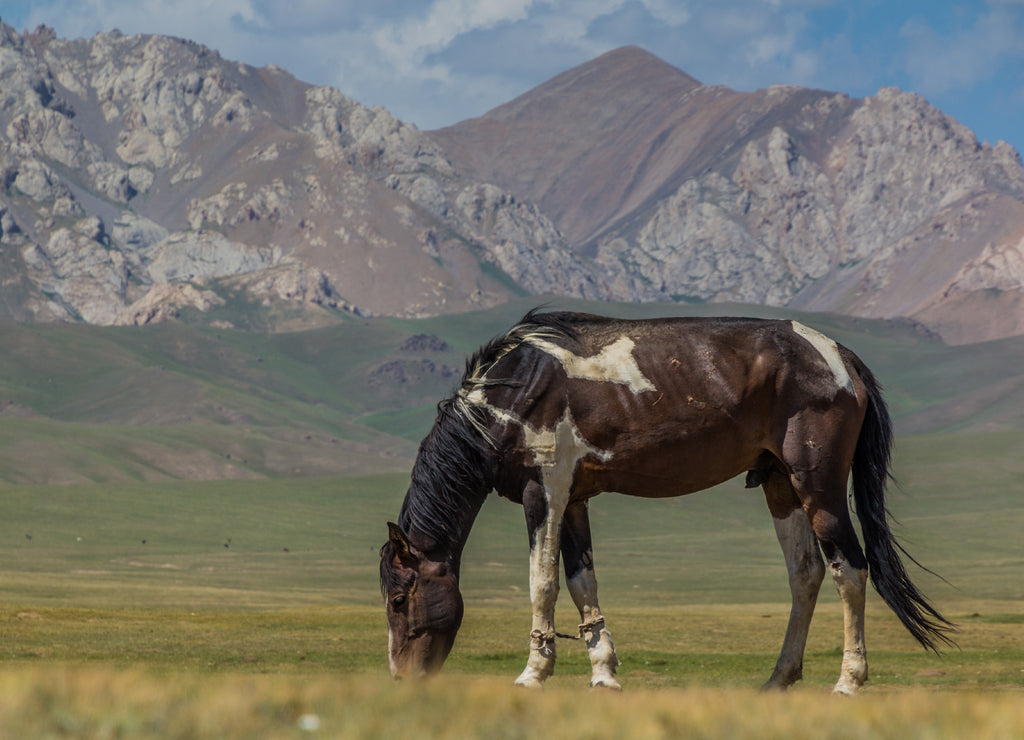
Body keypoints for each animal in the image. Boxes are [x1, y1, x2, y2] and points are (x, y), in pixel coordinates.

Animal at [379, 309, 954, 694]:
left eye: (399, 600)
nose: (401, 679)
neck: (513, 391)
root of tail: (837, 355)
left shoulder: (544, 490)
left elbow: (542, 582)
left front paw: (533, 673)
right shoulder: (575, 499)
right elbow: (582, 583)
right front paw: (603, 674)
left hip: (819, 484)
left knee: (848, 571)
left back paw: (848, 682)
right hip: (780, 484)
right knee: (805, 574)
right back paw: (778, 679)